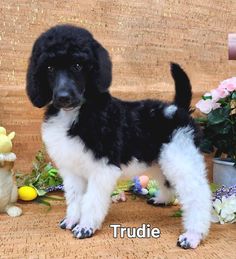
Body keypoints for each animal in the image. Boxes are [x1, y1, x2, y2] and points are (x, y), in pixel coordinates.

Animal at [26, 24, 211, 250]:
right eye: (50, 68)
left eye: (78, 65)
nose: (63, 97)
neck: (77, 114)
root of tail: (177, 108)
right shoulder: (71, 170)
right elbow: (75, 198)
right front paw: (72, 220)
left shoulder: (102, 168)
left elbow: (92, 200)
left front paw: (86, 226)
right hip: (159, 159)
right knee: (167, 181)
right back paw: (162, 200)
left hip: (181, 156)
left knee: (197, 194)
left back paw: (193, 235)